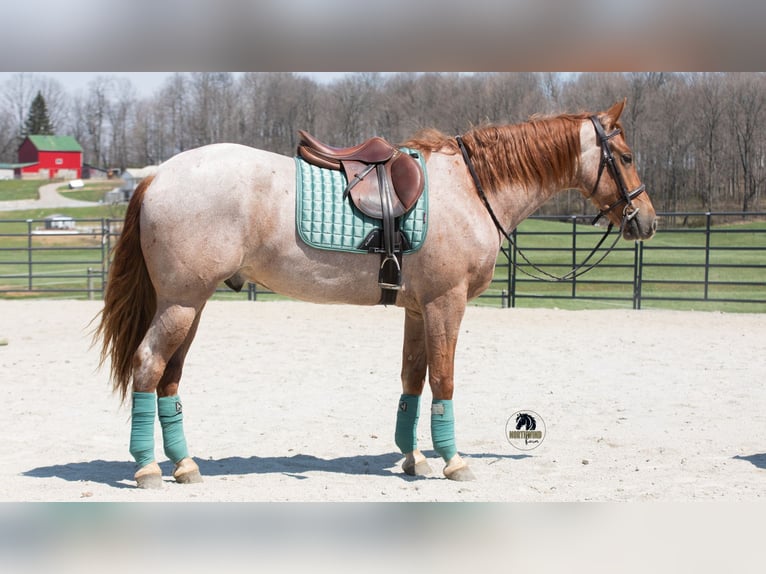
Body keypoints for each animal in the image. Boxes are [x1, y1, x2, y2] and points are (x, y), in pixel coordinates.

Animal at [95, 99, 656, 489]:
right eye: (626, 156)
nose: (646, 221)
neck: (471, 189)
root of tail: (157, 176)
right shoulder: (445, 304)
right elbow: (444, 381)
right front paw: (453, 461)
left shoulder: (418, 310)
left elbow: (412, 381)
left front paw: (413, 458)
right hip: (181, 303)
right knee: (148, 366)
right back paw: (147, 469)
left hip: (190, 305)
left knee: (169, 377)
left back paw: (185, 465)